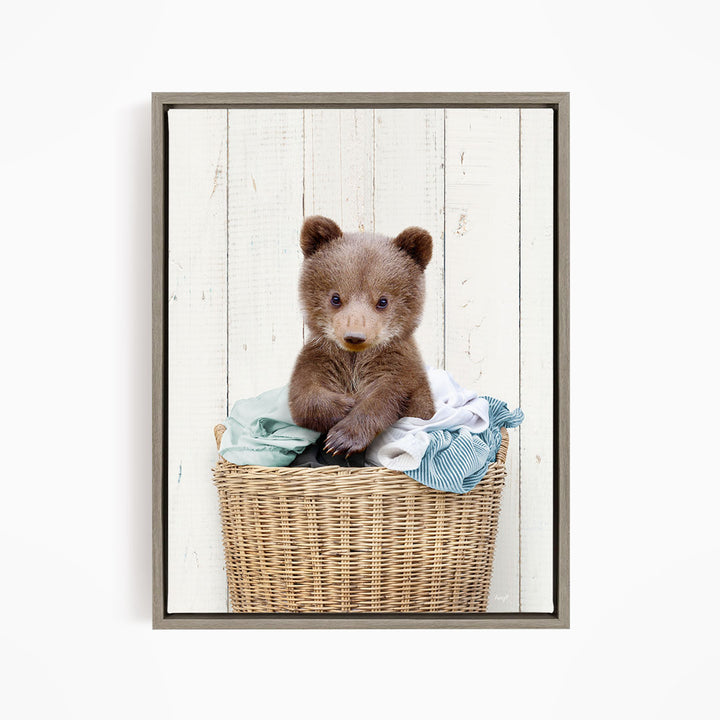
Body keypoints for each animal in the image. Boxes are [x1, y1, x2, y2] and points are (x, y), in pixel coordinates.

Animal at [288, 215, 436, 457]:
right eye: (336, 297)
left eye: (383, 301)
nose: (355, 336)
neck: (355, 359)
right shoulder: (322, 356)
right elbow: (305, 395)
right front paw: (346, 404)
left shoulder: (399, 366)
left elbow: (388, 396)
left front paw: (342, 439)